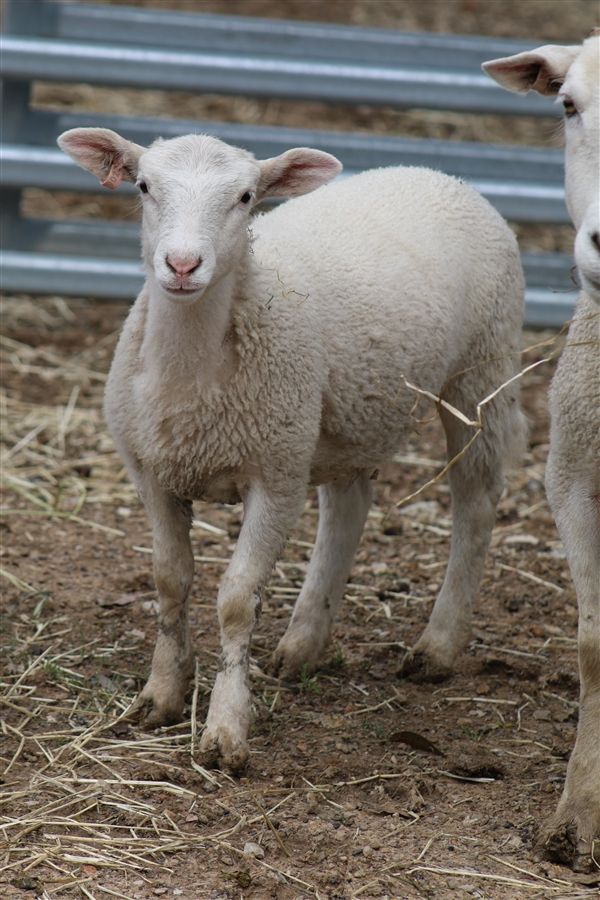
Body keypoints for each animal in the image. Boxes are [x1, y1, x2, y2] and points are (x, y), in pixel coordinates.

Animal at [58, 126, 526, 775]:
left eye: (247, 197)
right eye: (144, 186)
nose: (182, 265)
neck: (192, 375)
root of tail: (435, 172)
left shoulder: (275, 476)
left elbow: (236, 601)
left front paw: (226, 728)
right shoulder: (152, 471)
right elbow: (170, 581)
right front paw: (161, 695)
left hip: (482, 371)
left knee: (476, 503)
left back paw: (438, 646)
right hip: (344, 415)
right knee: (348, 508)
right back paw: (304, 642)